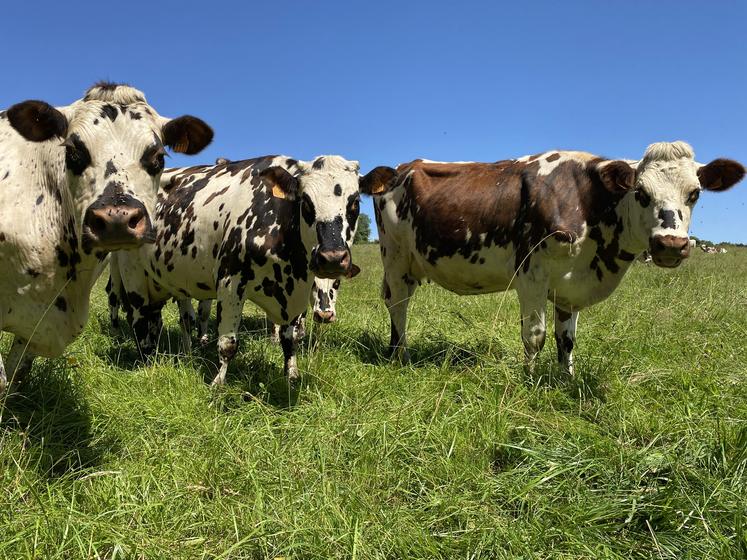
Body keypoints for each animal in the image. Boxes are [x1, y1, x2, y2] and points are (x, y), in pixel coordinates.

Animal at [110, 155, 380, 388]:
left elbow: (290, 339)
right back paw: (147, 363)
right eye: (305, 202)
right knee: (139, 321)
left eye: (354, 202)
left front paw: (291, 376)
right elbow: (227, 343)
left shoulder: (296, 293)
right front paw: (217, 384)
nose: (332, 257)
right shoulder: (230, 283)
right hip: (133, 278)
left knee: (158, 321)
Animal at [366, 142, 744, 374]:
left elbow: (567, 339)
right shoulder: (531, 274)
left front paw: (567, 379)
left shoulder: (570, 285)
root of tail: (403, 167)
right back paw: (400, 356)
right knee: (398, 305)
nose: (671, 244)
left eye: (694, 194)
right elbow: (535, 334)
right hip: (395, 258)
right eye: (641, 192)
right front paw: (530, 380)